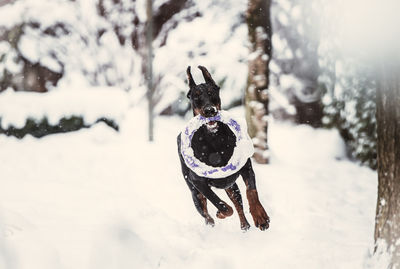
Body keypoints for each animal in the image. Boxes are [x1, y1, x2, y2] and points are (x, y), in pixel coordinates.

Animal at [177, 65, 268, 230]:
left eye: (211, 92)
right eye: (196, 96)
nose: (209, 110)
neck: (214, 138)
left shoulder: (246, 167)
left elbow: (251, 191)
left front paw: (261, 216)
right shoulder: (198, 182)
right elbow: (219, 203)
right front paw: (221, 213)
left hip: (231, 186)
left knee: (238, 204)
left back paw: (245, 226)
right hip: (194, 192)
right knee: (206, 213)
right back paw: (212, 222)